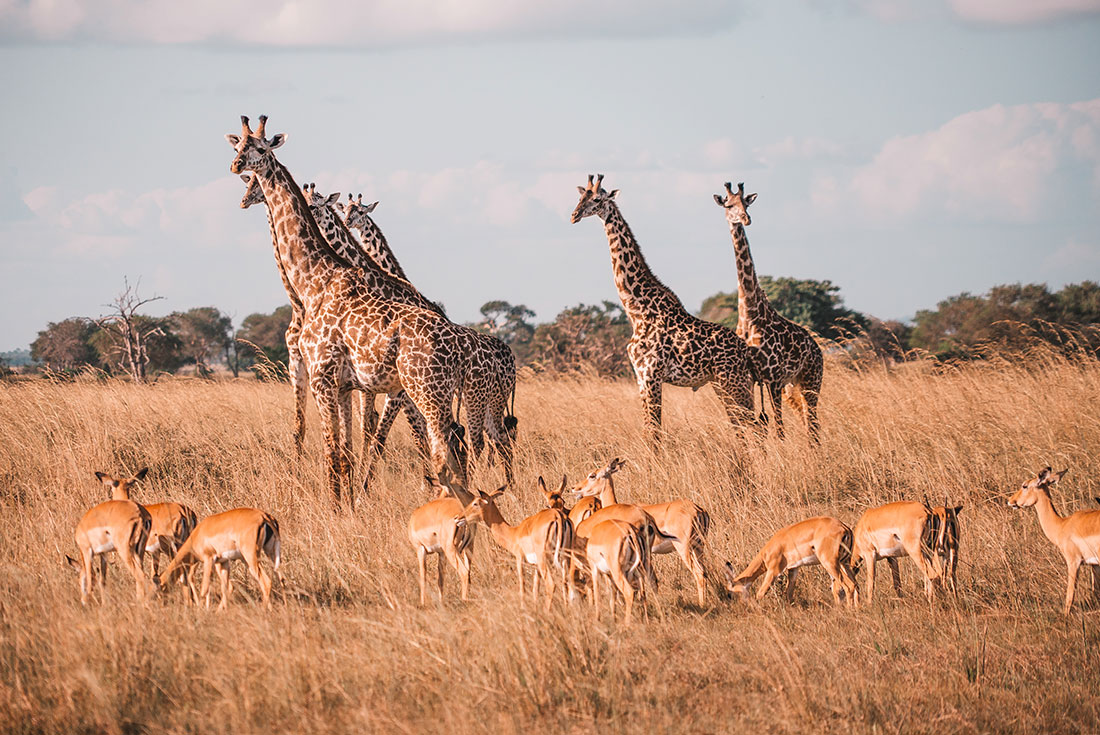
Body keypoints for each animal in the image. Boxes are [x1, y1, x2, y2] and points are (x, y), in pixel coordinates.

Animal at [227, 115, 473, 506]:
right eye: (239, 147)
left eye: (261, 148)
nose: (236, 167)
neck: (312, 282)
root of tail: (458, 344)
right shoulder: (341, 385)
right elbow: (344, 450)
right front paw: (350, 504)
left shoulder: (323, 378)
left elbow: (335, 450)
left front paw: (339, 508)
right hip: (431, 393)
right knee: (453, 447)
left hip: (422, 391)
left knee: (442, 452)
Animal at [302, 184, 517, 489]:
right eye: (345, 209)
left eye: (318, 204)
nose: (348, 222)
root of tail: (510, 356)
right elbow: (380, 429)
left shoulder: (398, 388)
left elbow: (396, 434)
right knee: (490, 438)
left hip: (485, 396)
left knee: (487, 439)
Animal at [570, 174, 759, 446]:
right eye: (580, 197)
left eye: (596, 199)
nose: (574, 215)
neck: (636, 310)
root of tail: (746, 351)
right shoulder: (640, 376)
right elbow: (649, 430)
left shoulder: (651, 374)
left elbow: (654, 433)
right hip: (722, 384)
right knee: (743, 426)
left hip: (734, 381)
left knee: (755, 425)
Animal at [714, 182, 823, 442]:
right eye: (729, 205)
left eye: (747, 203)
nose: (746, 219)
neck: (750, 314)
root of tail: (818, 350)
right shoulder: (753, 378)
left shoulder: (773, 378)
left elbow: (779, 430)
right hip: (793, 388)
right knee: (807, 421)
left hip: (811, 382)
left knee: (813, 425)